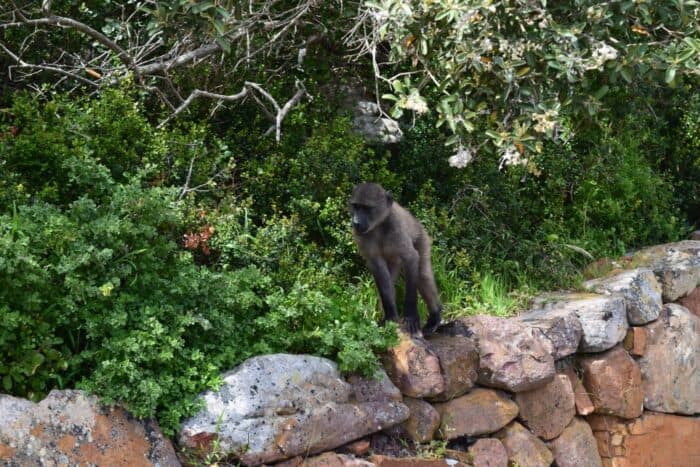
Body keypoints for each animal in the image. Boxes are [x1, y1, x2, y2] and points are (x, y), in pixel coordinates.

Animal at [349, 182, 442, 336]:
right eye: (356, 206)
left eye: (366, 208)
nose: (356, 222)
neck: (379, 224)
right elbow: (378, 267)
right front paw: (390, 317)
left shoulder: (396, 227)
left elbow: (411, 258)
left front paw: (410, 316)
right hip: (393, 261)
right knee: (387, 281)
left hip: (422, 238)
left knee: (422, 275)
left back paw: (435, 317)